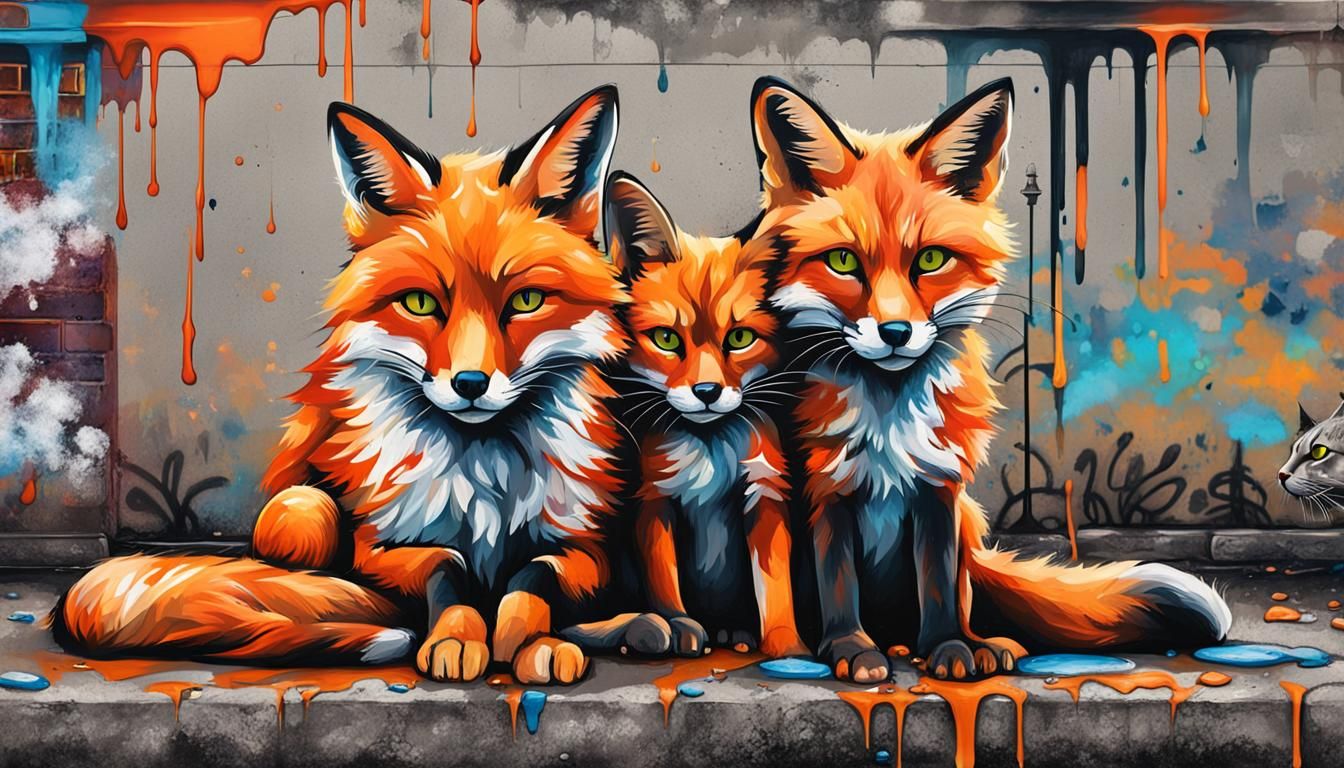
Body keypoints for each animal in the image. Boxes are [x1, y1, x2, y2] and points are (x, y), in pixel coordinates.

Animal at [54, 86, 669, 684]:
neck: (484, 481)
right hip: (301, 509)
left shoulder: (585, 548)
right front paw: (456, 636)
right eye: (419, 304)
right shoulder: (380, 548)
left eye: (527, 301)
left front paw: (527, 638)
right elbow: (448, 568)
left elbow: (532, 577)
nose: (470, 383)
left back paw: (636, 627)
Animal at [602, 171, 808, 659]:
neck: (710, 454)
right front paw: (677, 625)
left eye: (739, 338)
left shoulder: (763, 495)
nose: (707, 392)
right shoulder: (653, 501)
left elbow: (776, 588)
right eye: (666, 339)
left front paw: (789, 647)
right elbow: (664, 583)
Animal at [746, 76, 1232, 683]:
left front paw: (950, 647)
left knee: (964, 589)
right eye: (843, 262)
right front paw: (852, 650)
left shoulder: (939, 487)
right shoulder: (824, 488)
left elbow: (938, 583)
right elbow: (838, 581)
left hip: (969, 521)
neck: (888, 414)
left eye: (931, 260)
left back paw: (975, 642)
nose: (895, 332)